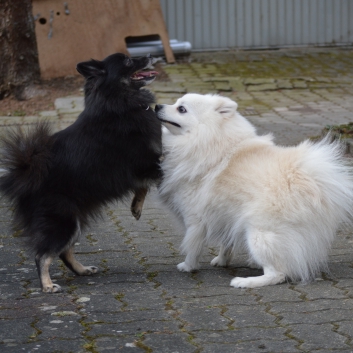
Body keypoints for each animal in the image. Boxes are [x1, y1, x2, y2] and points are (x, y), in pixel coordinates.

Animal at [0, 52, 162, 292]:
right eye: (127, 61)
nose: (152, 54)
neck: (118, 102)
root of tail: (25, 175)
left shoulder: (140, 168)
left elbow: (143, 186)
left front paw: (136, 207)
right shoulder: (143, 163)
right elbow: (155, 177)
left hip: (74, 221)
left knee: (64, 252)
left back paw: (82, 270)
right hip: (62, 222)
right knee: (43, 255)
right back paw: (48, 285)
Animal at [155, 94, 352, 288]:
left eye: (182, 109)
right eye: (176, 102)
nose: (157, 106)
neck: (210, 140)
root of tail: (305, 179)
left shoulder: (194, 218)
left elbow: (192, 247)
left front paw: (188, 266)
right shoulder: (226, 214)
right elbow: (226, 242)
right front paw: (222, 260)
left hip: (259, 234)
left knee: (277, 274)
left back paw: (244, 281)